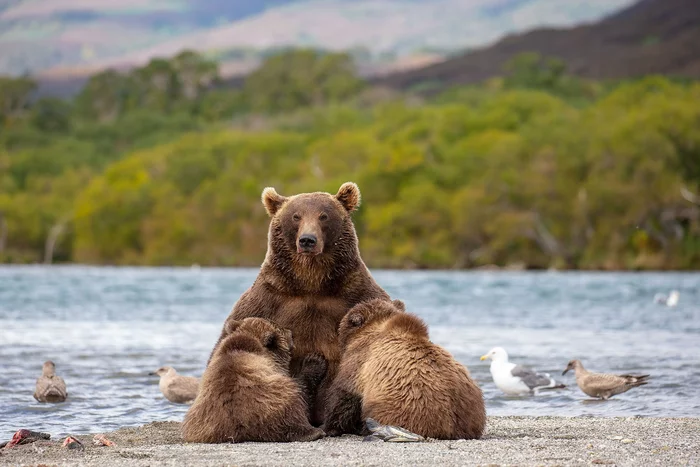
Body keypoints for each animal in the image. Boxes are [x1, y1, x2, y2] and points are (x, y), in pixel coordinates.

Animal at [208, 184, 394, 428]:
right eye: (296, 216)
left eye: (324, 216)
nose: (307, 240)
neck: (311, 283)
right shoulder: (266, 299)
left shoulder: (357, 294)